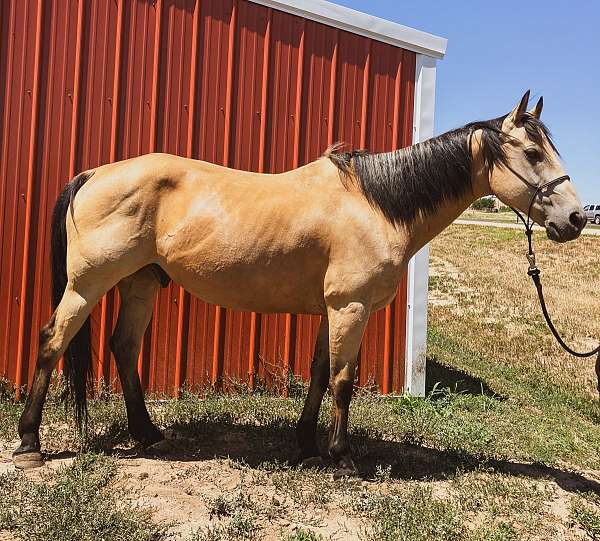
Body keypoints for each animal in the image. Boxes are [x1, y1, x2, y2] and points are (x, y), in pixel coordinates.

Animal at [12, 90, 584, 474]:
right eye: (533, 153)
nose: (576, 219)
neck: (376, 205)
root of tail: (94, 173)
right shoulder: (351, 307)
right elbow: (343, 381)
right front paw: (342, 456)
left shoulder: (334, 310)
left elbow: (317, 373)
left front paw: (307, 444)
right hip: (87, 286)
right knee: (52, 342)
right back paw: (29, 443)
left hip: (141, 283)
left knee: (124, 348)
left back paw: (148, 434)